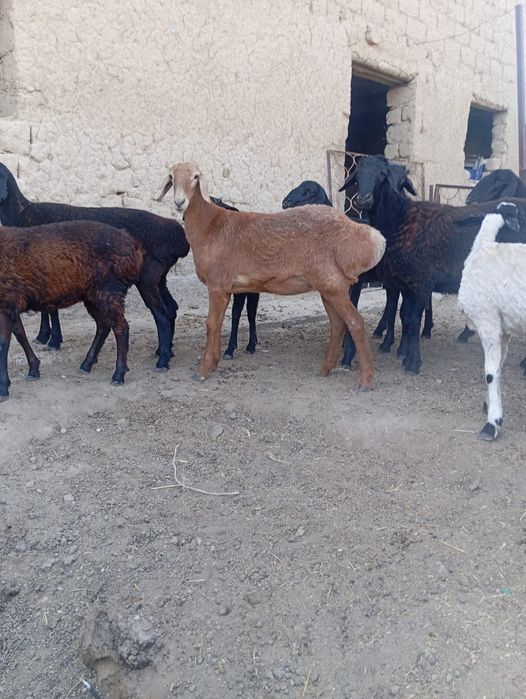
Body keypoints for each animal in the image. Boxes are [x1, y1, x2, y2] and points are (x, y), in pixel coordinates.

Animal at [0, 162, 190, 370]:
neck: (22, 213)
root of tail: (179, 238)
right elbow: (48, 308)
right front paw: (44, 336)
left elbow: (51, 310)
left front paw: (53, 339)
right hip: (159, 278)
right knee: (171, 308)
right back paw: (165, 351)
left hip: (147, 277)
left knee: (161, 313)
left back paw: (162, 359)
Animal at [0, 221, 143, 400]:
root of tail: (136, 248)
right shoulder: (12, 303)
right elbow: (20, 334)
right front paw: (33, 369)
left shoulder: (7, 300)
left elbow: (4, 343)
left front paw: (3, 387)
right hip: (91, 295)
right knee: (103, 325)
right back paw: (87, 363)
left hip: (109, 289)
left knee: (120, 327)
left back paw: (118, 374)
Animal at [157, 162, 386, 389]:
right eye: (171, 177)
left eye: (196, 177)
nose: (179, 202)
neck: (210, 226)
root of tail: (360, 234)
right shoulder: (225, 288)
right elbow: (219, 324)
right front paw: (214, 362)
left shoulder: (217, 285)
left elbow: (211, 324)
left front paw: (203, 370)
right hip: (329, 286)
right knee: (338, 324)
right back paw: (325, 369)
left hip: (334, 285)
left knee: (356, 323)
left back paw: (366, 380)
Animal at [339, 155, 526, 374]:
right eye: (357, 175)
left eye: (382, 175)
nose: (363, 199)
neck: (400, 219)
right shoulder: (405, 284)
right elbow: (405, 317)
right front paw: (405, 355)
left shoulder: (420, 281)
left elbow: (412, 321)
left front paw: (412, 363)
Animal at [458, 202, 526, 440]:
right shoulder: (502, 327)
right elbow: (498, 367)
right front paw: (489, 405)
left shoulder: (487, 321)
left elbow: (489, 372)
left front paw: (492, 424)